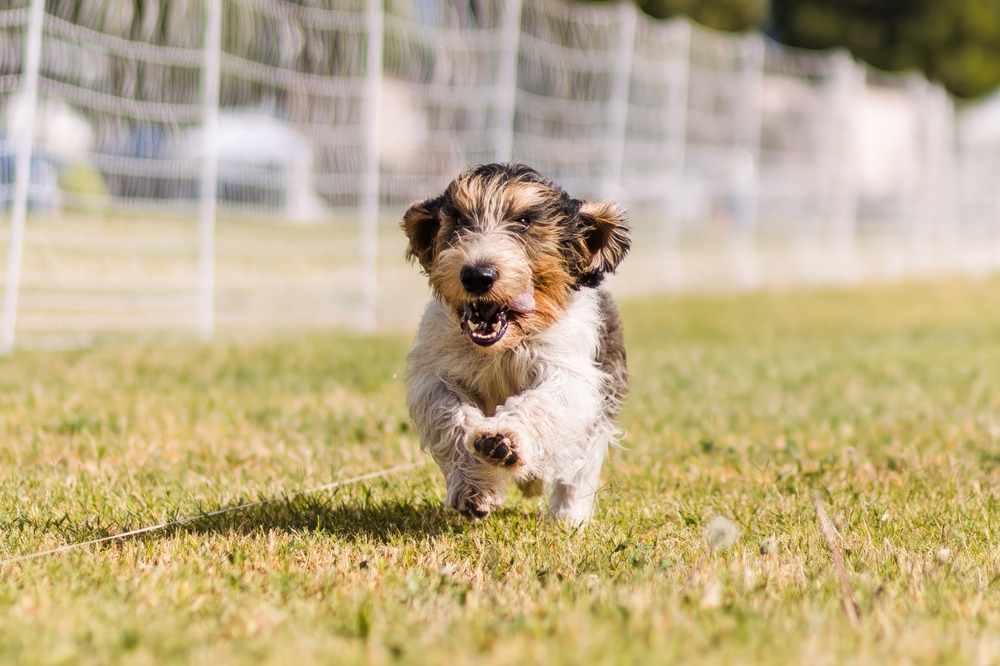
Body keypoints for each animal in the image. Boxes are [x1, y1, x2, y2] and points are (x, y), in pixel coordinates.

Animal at [400, 162, 628, 524]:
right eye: (460, 219)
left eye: (524, 221)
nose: (477, 275)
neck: (502, 348)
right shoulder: (437, 374)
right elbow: (451, 414)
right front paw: (474, 489)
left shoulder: (569, 374)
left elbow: (540, 403)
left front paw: (502, 440)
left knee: (577, 469)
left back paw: (569, 514)